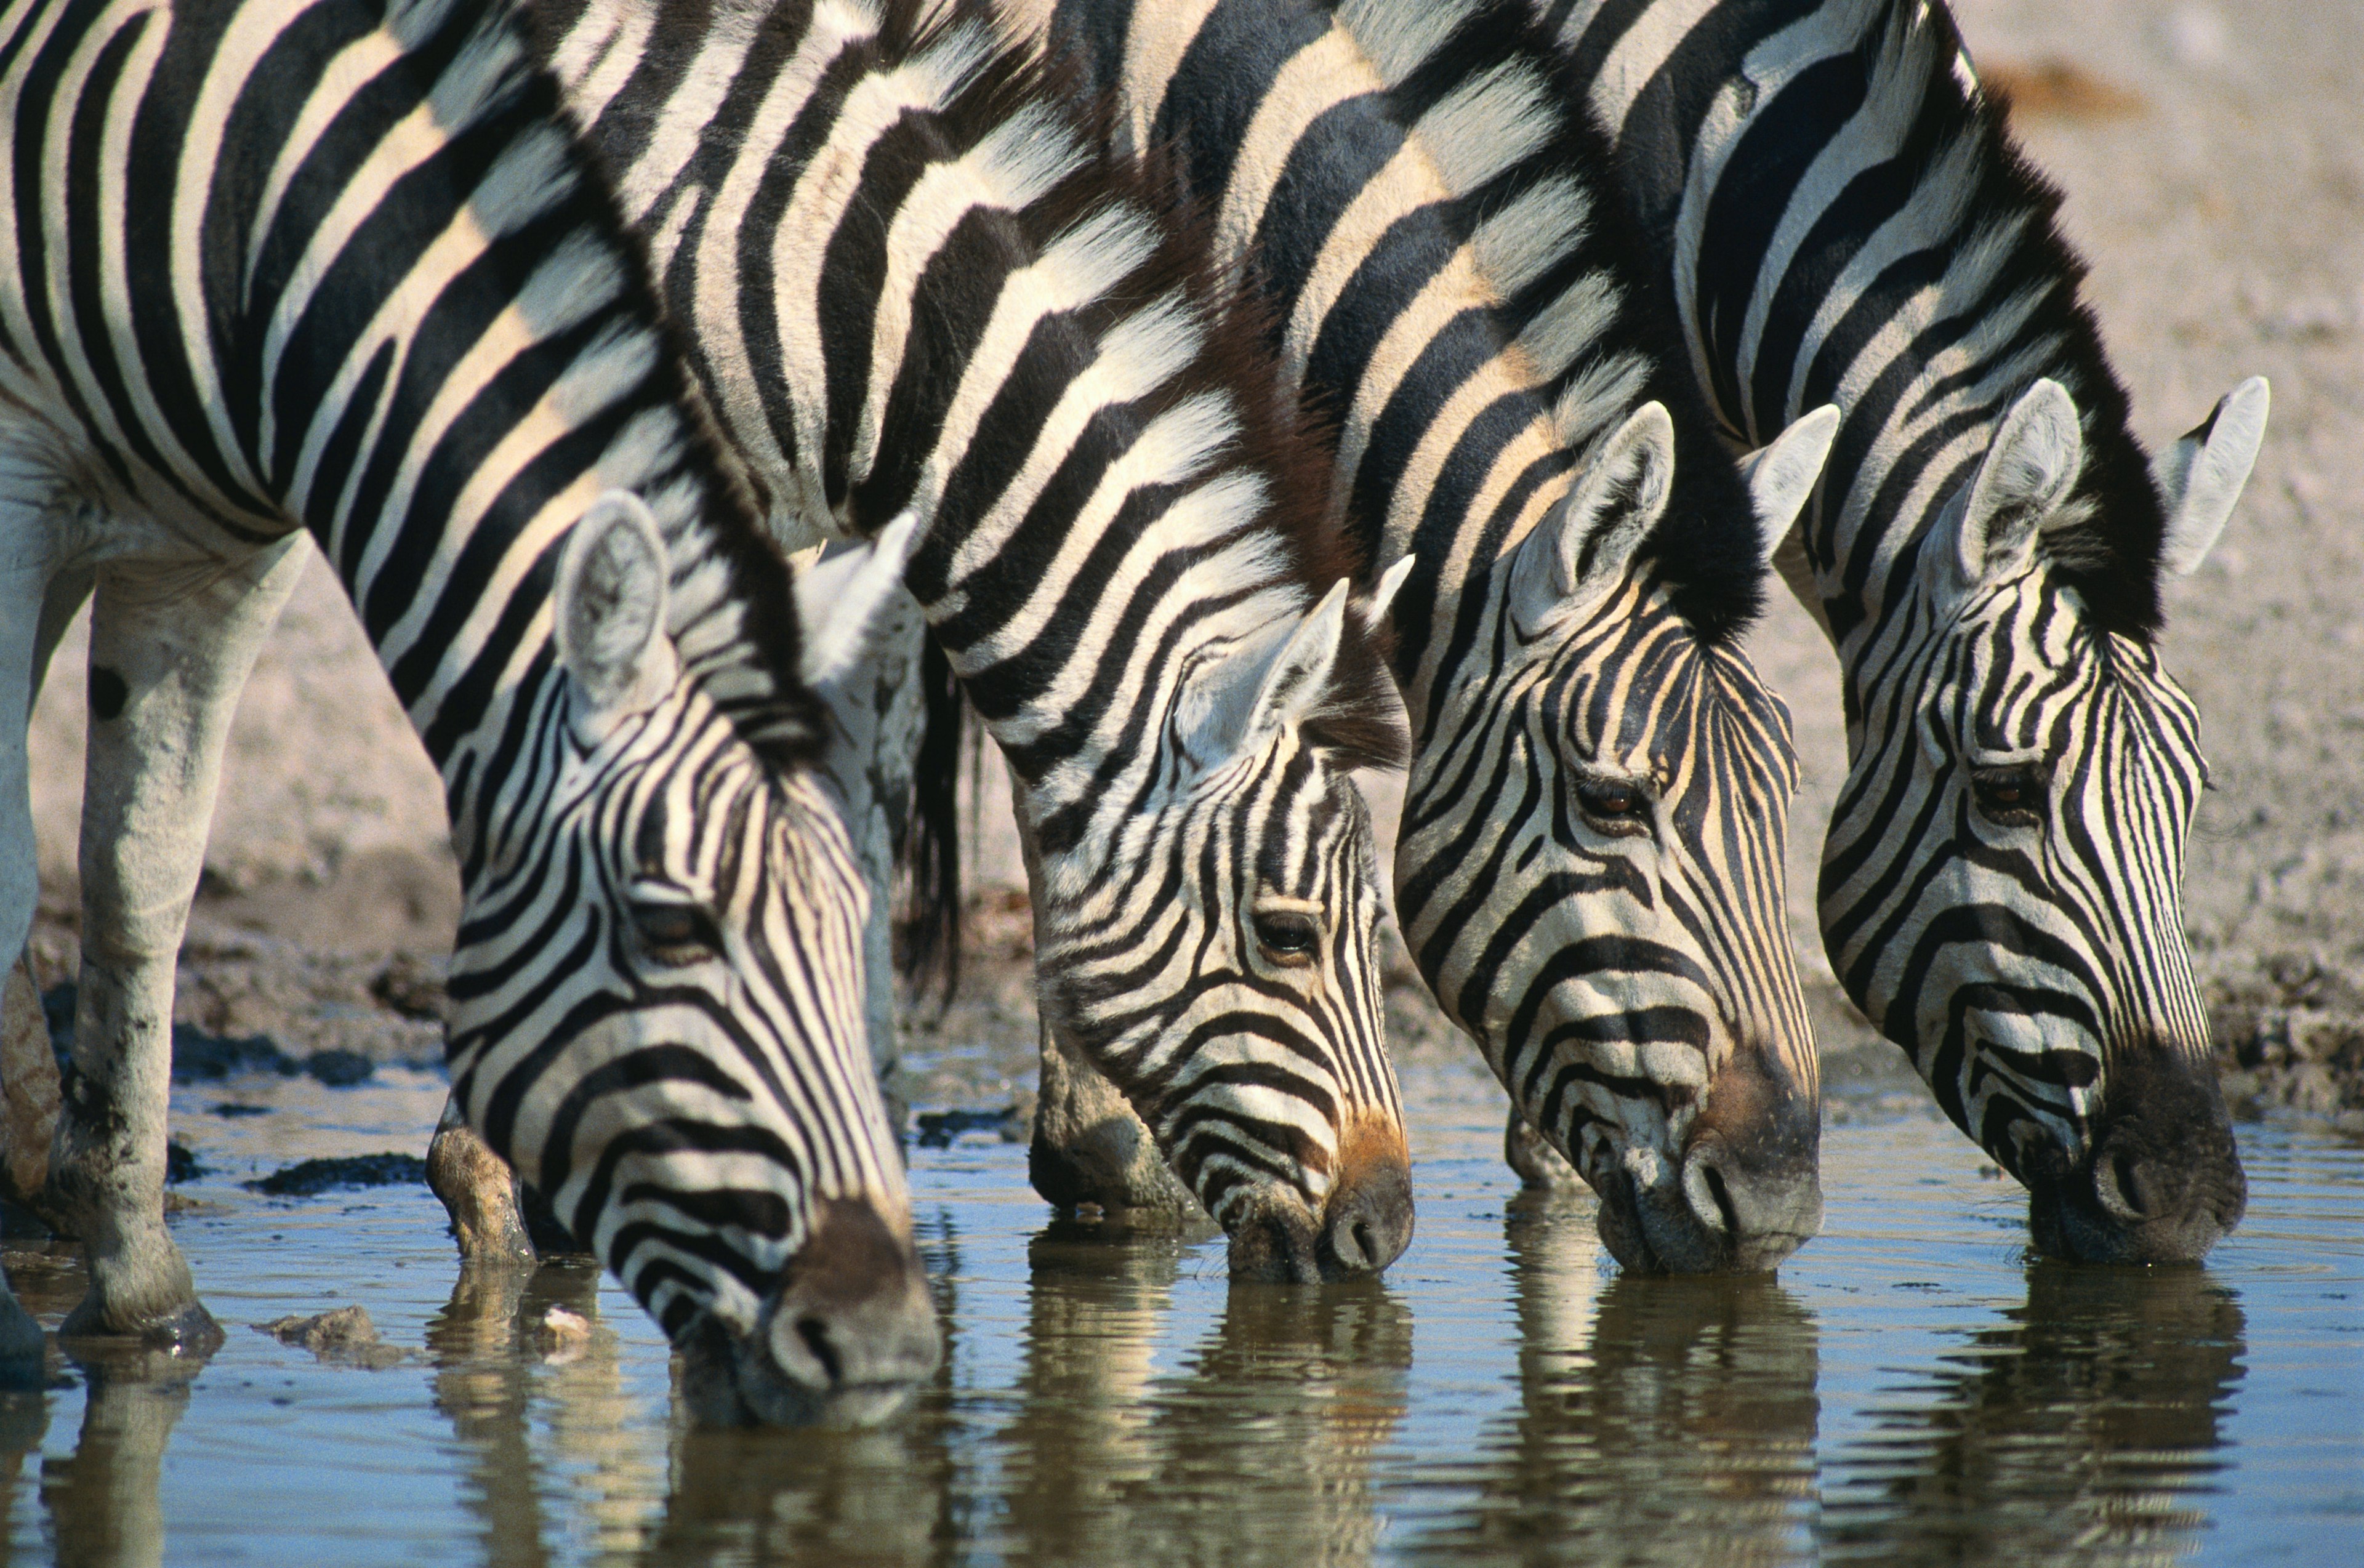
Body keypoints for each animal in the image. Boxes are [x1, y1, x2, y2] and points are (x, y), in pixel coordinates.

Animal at [0, 0, 941, 1418]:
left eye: (853, 924)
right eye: (672, 927)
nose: (880, 1337)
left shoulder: (216, 551)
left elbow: (142, 878)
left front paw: (139, 1288)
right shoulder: (15, 481)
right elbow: (15, 876)